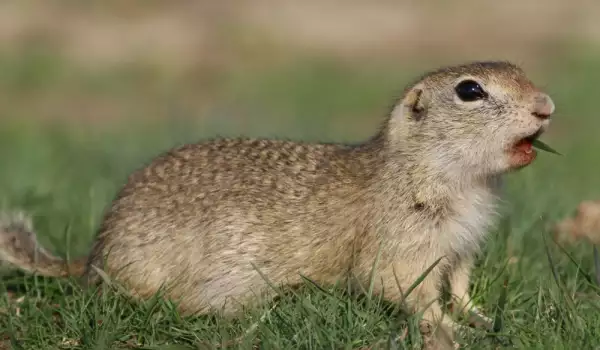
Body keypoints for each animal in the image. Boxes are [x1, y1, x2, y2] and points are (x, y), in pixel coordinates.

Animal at [0, 60, 552, 348]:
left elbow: (458, 286)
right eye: (470, 90)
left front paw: (480, 316)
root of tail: (94, 257)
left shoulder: (460, 247)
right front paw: (446, 326)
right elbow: (401, 285)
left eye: (520, 69)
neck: (460, 179)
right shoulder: (403, 239)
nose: (546, 105)